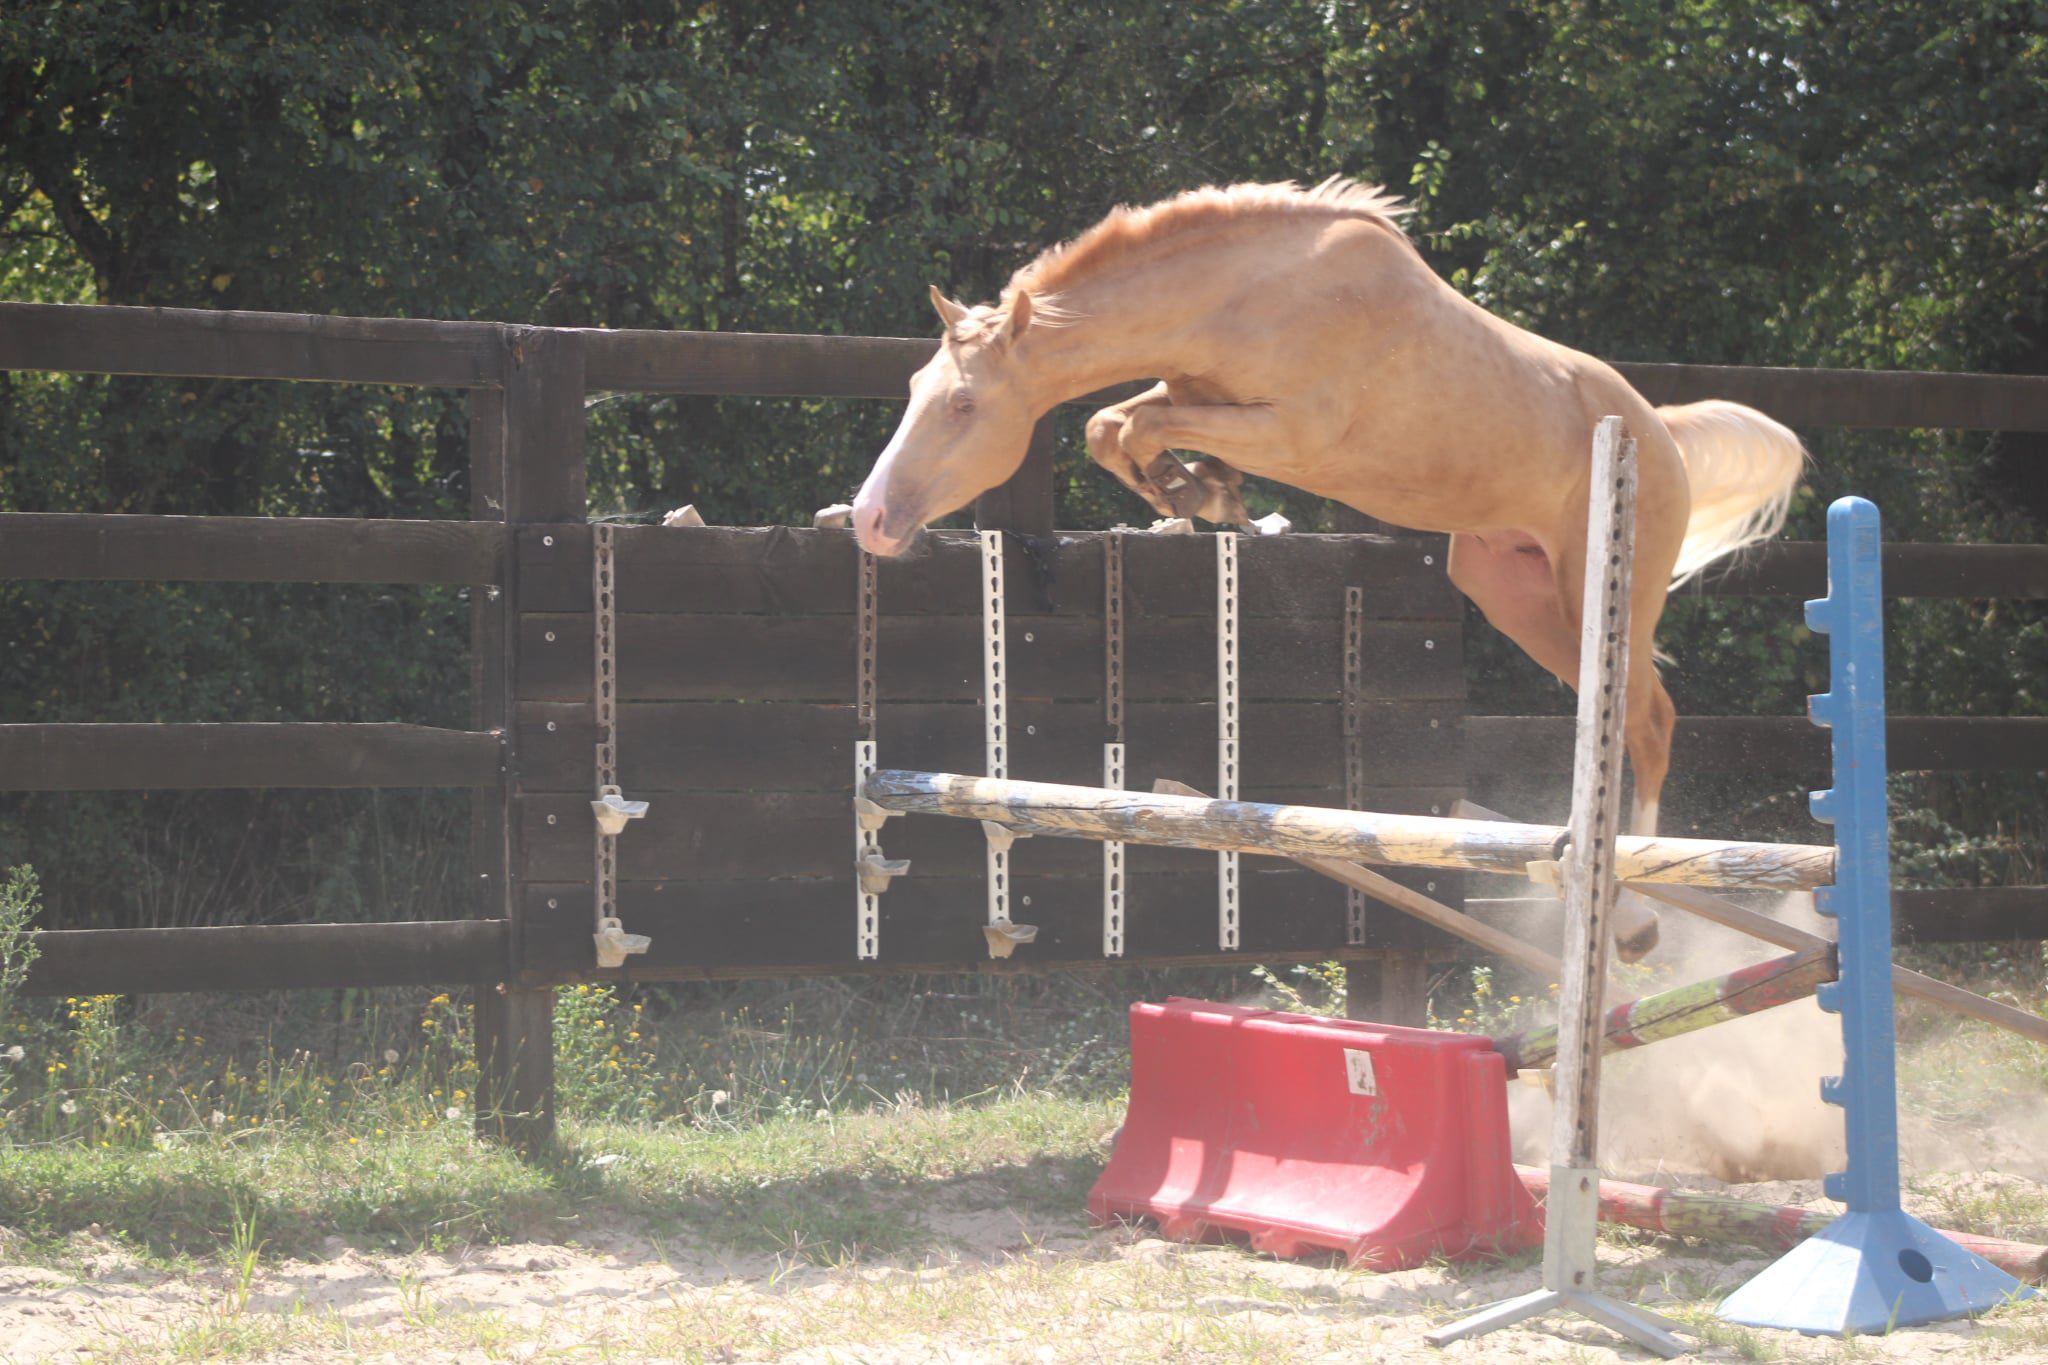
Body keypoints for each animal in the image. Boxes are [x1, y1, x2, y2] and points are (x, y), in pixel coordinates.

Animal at [850, 178, 1804, 961]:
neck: (1249, 290)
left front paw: (1207, 494)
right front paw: (1202, 495)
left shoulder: (1288, 431)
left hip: (1603, 588)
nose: (868, 519)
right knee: (1617, 716)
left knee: (1648, 722)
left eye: (963, 404)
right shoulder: (1191, 392)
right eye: (914, 387)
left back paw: (1635, 914)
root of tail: (1661, 435)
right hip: (1517, 596)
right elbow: (1114, 425)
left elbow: (1140, 426)